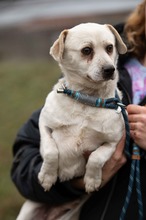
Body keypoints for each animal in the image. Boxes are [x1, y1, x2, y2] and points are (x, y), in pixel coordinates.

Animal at [16, 22, 126, 220]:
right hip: (27, 212)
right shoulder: (44, 125)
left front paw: (91, 180)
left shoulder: (113, 143)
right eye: (86, 50)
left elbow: (96, 158)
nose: (109, 69)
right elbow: (51, 151)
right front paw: (47, 177)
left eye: (109, 47)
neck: (87, 100)